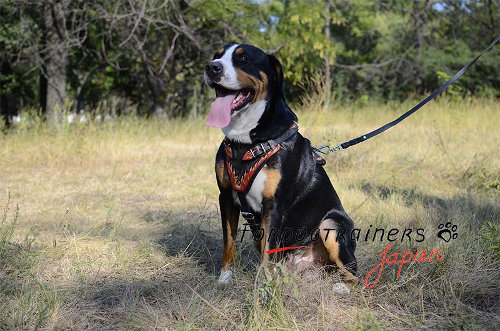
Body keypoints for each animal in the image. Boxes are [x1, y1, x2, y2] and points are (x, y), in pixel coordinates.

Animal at [205, 43, 358, 286]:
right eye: (216, 56)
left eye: (243, 58)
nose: (211, 68)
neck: (246, 142)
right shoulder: (226, 196)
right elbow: (229, 243)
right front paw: (225, 278)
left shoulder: (273, 204)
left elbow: (268, 249)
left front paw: (262, 288)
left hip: (332, 225)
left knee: (355, 273)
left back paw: (341, 287)